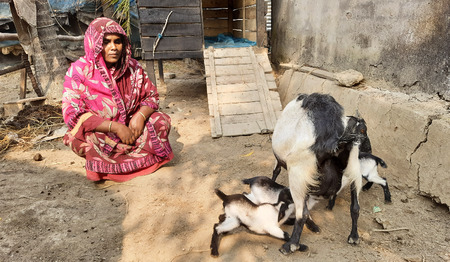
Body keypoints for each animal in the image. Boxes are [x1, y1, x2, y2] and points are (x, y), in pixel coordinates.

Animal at [270, 93, 370, 255]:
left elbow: (275, 172)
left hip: (297, 174)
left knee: (302, 212)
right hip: (354, 170)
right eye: (362, 131)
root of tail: (333, 141)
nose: (368, 148)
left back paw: (291, 245)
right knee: (355, 207)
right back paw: (354, 237)